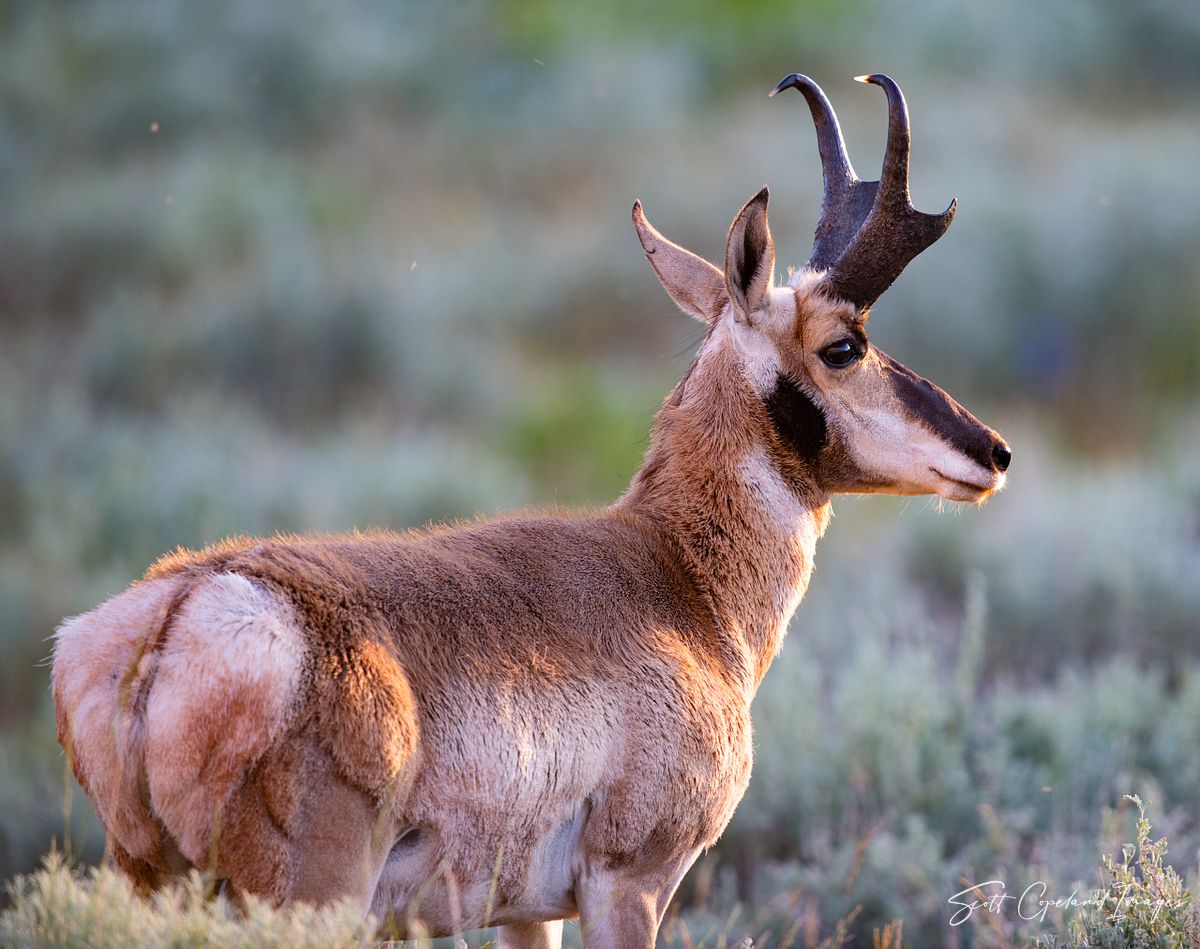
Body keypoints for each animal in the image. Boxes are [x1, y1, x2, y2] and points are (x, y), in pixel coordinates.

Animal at [52, 73, 1010, 947]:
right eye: (844, 346)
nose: (992, 451)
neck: (674, 578)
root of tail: (178, 611)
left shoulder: (524, 915)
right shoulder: (631, 884)